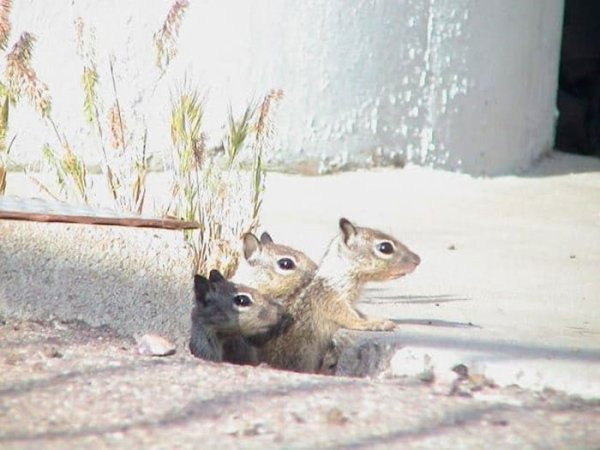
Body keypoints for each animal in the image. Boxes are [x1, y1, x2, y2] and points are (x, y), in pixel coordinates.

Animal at [258, 218, 422, 372]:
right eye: (385, 247)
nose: (418, 259)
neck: (338, 277)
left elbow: (360, 314)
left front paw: (378, 320)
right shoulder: (332, 301)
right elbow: (352, 319)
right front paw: (374, 324)